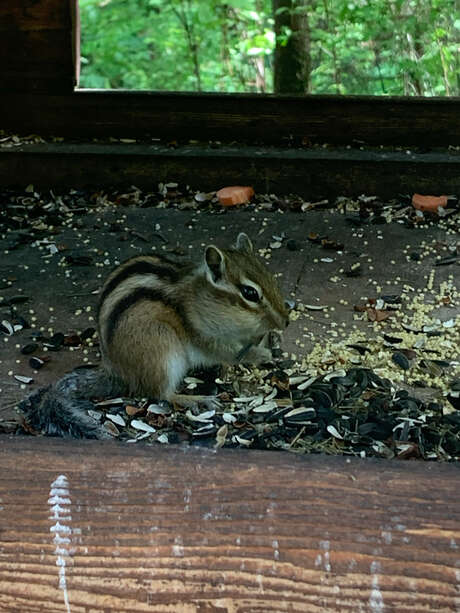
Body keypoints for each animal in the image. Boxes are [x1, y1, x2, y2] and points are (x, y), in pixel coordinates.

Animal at [19, 233, 289, 439]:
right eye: (250, 293)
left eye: (271, 279)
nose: (285, 322)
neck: (202, 298)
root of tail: (117, 371)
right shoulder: (201, 333)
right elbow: (226, 353)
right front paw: (261, 354)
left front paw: (270, 340)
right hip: (162, 351)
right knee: (162, 393)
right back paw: (197, 399)